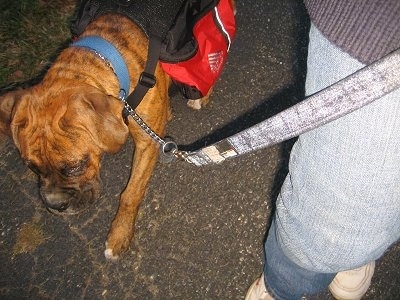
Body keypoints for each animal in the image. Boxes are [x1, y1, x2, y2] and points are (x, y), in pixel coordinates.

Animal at [0, 12, 216, 260]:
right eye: (32, 168)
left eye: (75, 166)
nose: (55, 205)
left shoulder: (146, 145)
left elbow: (130, 194)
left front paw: (119, 235)